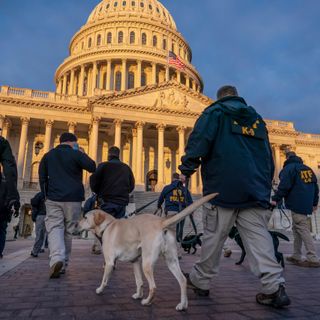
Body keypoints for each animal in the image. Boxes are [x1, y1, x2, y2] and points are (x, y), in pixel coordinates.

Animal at [78, 192, 216, 310]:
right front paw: (138, 295)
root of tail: (161, 221)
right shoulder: (135, 261)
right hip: (171, 261)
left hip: (147, 264)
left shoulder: (110, 262)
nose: (76, 225)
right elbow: (139, 281)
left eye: (85, 217)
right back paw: (182, 305)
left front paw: (99, 289)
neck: (108, 225)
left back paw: (147, 302)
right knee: (182, 280)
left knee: (153, 287)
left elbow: (104, 280)